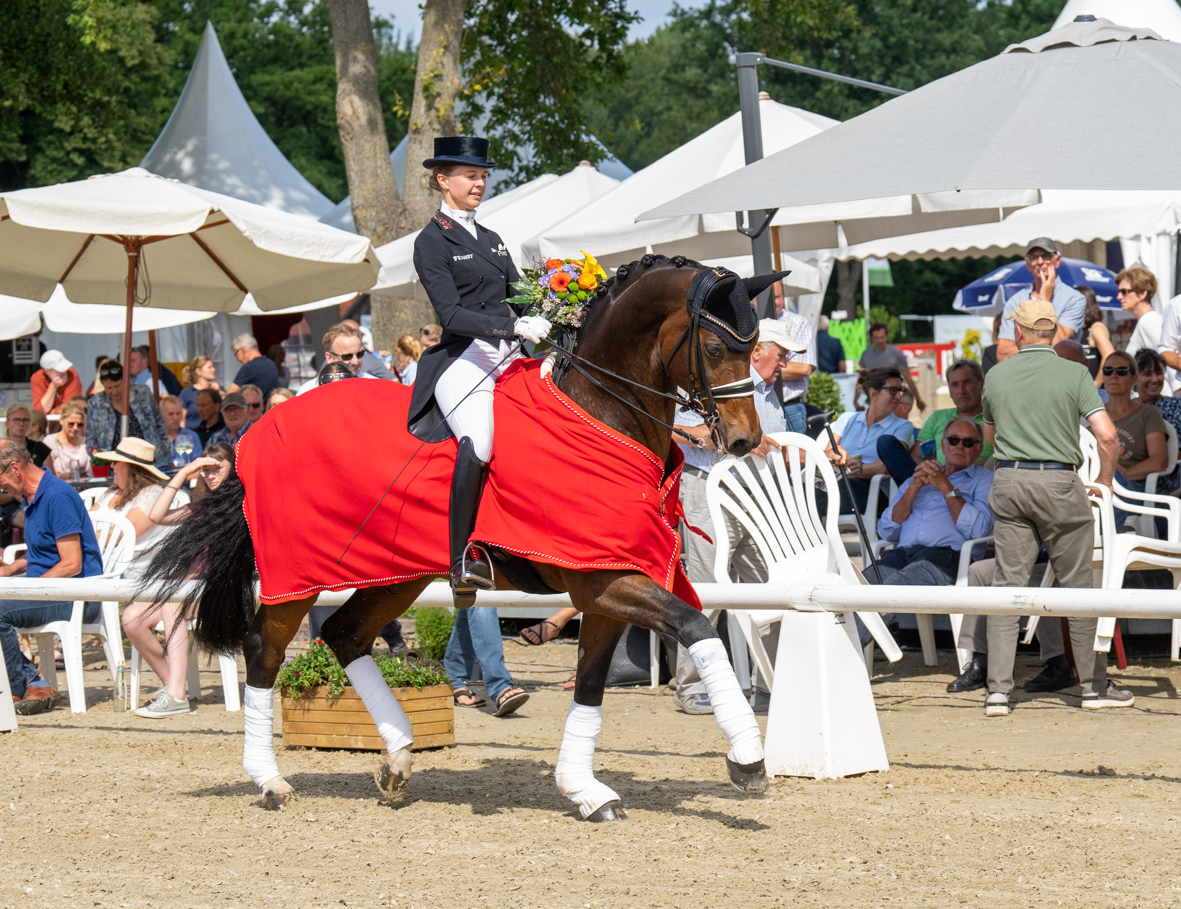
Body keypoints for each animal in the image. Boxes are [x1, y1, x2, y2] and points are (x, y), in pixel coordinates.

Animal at [142, 251, 779, 816]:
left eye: (753, 348)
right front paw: (748, 759)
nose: (746, 440)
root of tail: (259, 426)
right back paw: (271, 781)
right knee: (264, 649)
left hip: (394, 573)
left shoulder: (606, 583)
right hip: (295, 575)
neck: (601, 413)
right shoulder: (603, 579)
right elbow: (697, 626)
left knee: (347, 635)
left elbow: (592, 685)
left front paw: (584, 790)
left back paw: (398, 759)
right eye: (717, 347)